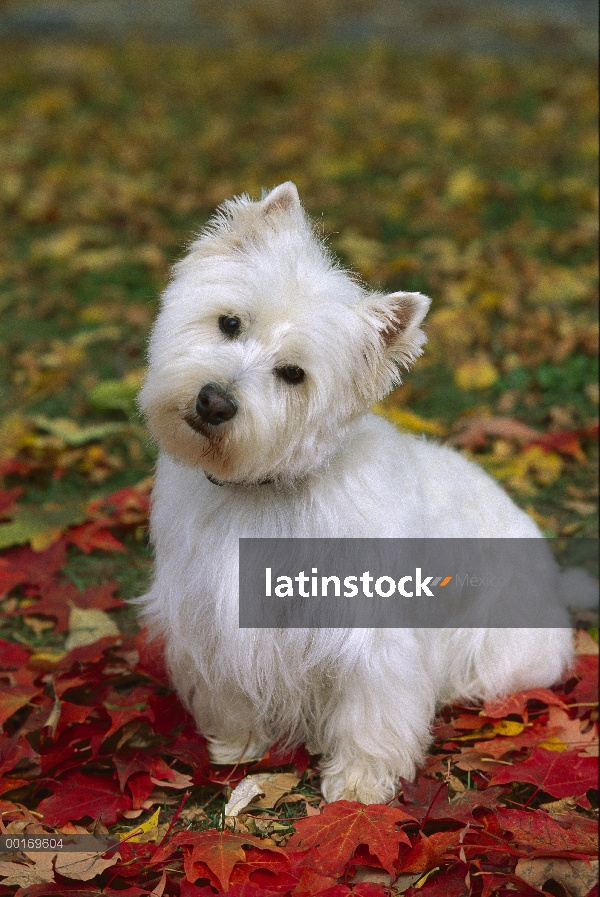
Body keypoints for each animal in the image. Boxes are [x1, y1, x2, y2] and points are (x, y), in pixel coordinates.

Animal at [137, 178, 576, 800]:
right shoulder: (210, 615)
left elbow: (373, 710)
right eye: (229, 324)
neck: (266, 491)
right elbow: (232, 691)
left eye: (293, 374)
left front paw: (359, 785)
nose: (214, 402)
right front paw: (239, 744)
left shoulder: (371, 636)